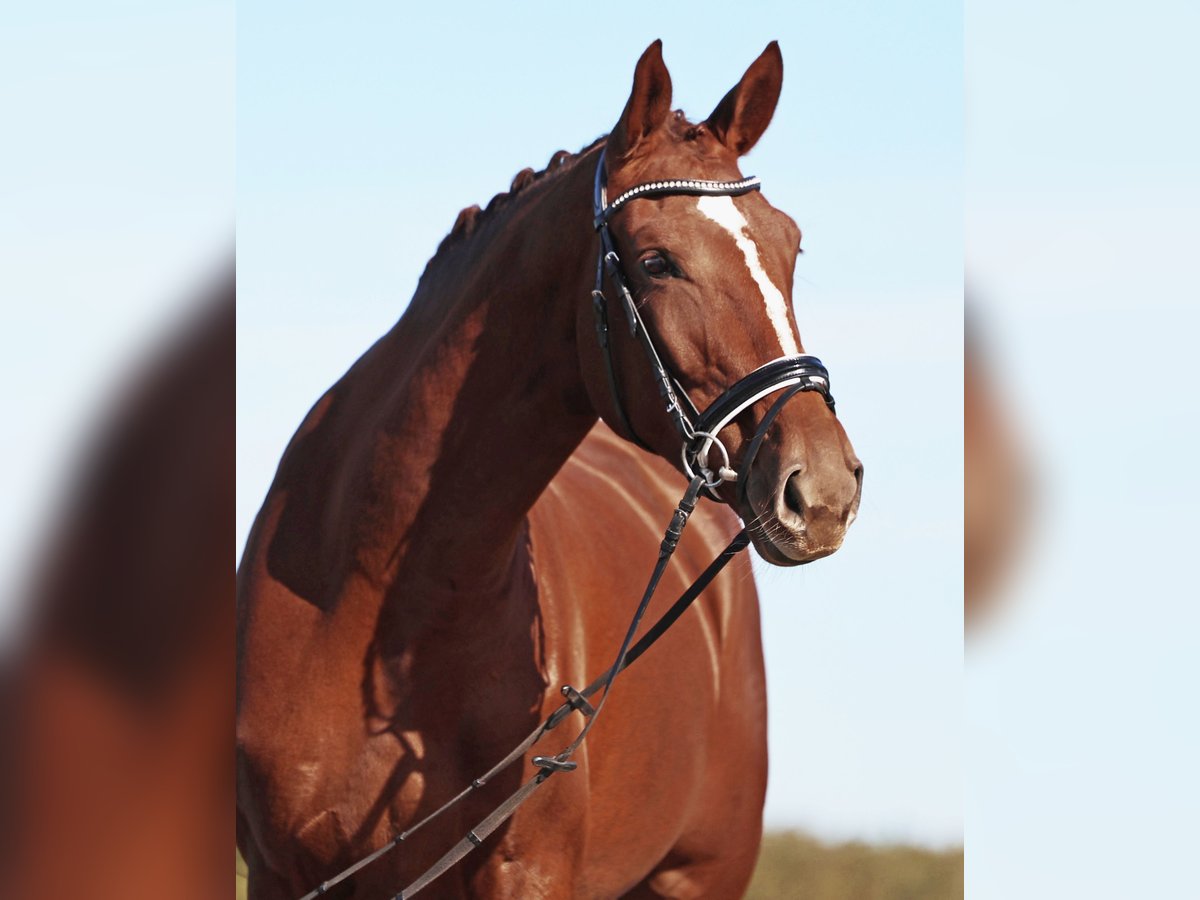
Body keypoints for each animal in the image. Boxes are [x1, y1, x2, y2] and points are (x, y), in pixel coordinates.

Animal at [237, 40, 861, 899]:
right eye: (657, 261)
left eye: (790, 248)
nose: (823, 490)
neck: (364, 606)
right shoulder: (278, 873)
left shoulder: (527, 872)